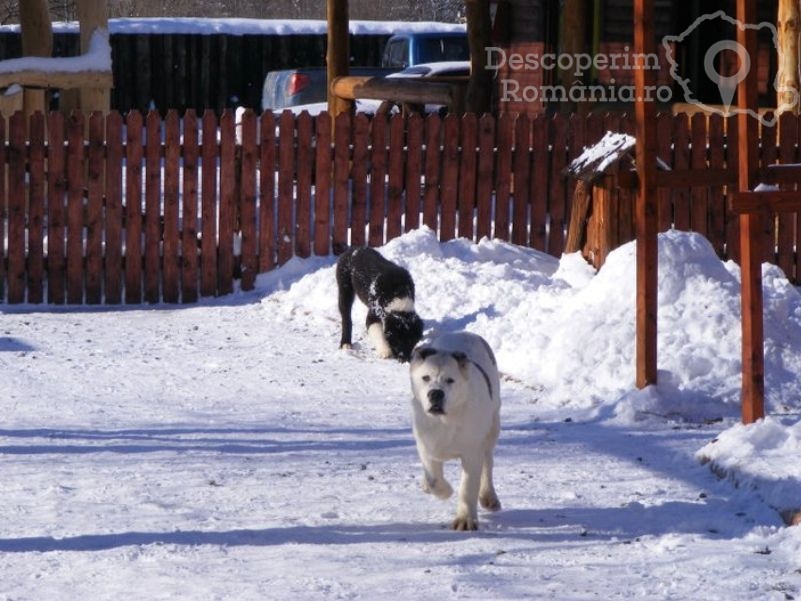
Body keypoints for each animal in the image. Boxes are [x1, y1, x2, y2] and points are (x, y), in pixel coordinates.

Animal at [406, 328, 500, 528]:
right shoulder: (425, 444)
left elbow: (468, 486)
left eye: (450, 380)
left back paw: (489, 497)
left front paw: (465, 520)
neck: (445, 420)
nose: (435, 393)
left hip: (493, 426)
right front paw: (444, 491)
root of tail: (466, 332)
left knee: (488, 463)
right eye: (425, 378)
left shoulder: (472, 451)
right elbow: (433, 479)